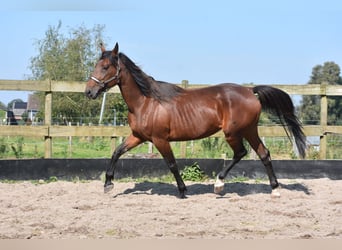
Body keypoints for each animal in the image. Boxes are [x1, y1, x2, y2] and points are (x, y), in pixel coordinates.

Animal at [84, 43, 306, 199]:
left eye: (105, 67)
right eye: (96, 65)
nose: (89, 92)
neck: (145, 102)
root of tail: (251, 91)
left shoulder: (159, 139)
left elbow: (172, 164)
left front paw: (182, 191)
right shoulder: (138, 136)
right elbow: (116, 152)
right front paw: (108, 184)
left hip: (233, 132)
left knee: (241, 153)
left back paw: (219, 185)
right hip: (250, 130)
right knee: (263, 153)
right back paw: (275, 190)